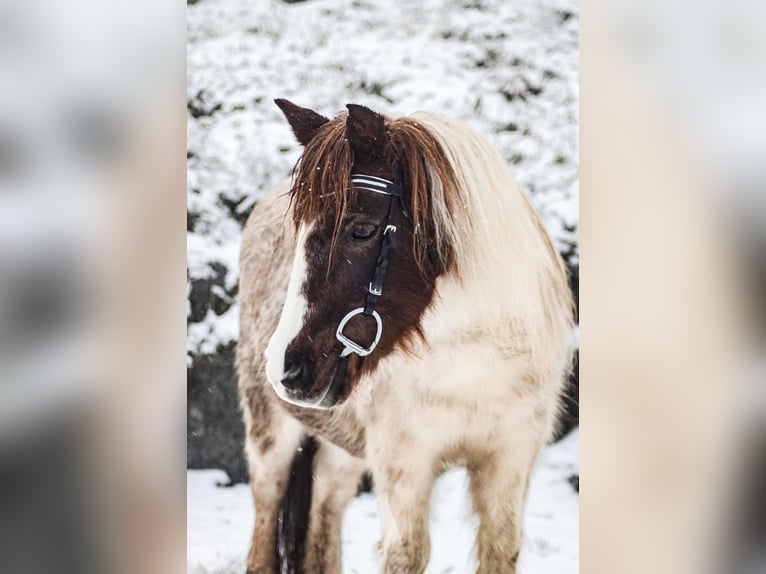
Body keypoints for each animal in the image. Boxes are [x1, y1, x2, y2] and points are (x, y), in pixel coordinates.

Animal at [236, 99, 575, 574]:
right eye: (296, 234)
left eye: (360, 229)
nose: (287, 366)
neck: (474, 363)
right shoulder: (405, 467)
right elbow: (407, 553)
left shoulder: (510, 461)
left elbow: (500, 546)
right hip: (270, 434)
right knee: (265, 522)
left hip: (342, 446)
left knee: (326, 511)